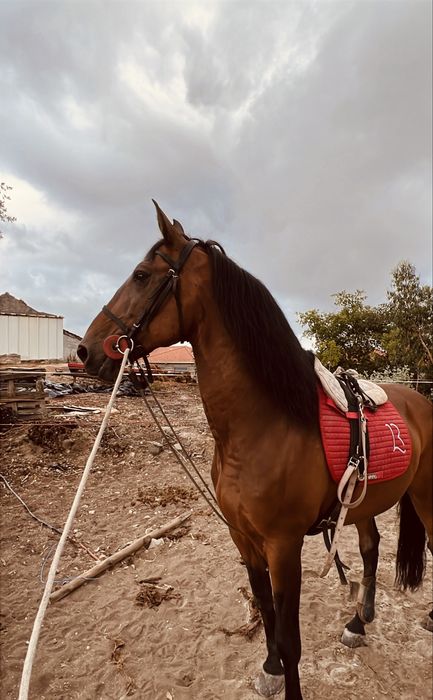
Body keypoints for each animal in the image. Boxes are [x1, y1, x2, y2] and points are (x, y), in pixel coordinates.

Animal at [77, 202, 432, 700]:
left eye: (142, 275)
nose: (85, 351)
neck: (259, 429)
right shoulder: (244, 540)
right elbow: (266, 614)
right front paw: (269, 668)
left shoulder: (284, 547)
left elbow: (290, 637)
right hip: (364, 503)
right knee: (370, 549)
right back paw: (358, 623)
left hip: (425, 497)